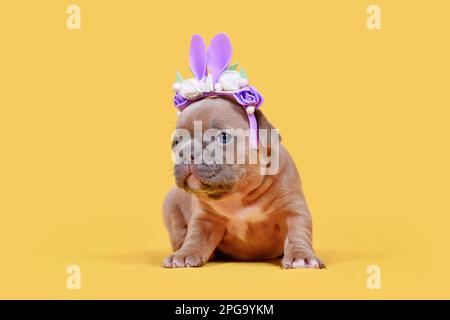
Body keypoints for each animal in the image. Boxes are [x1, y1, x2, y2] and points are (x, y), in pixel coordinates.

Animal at [162, 97, 324, 268]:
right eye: (176, 142)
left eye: (223, 138)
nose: (185, 152)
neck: (239, 196)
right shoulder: (205, 218)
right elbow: (196, 236)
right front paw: (184, 254)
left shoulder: (293, 210)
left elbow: (297, 233)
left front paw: (301, 256)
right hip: (170, 205)